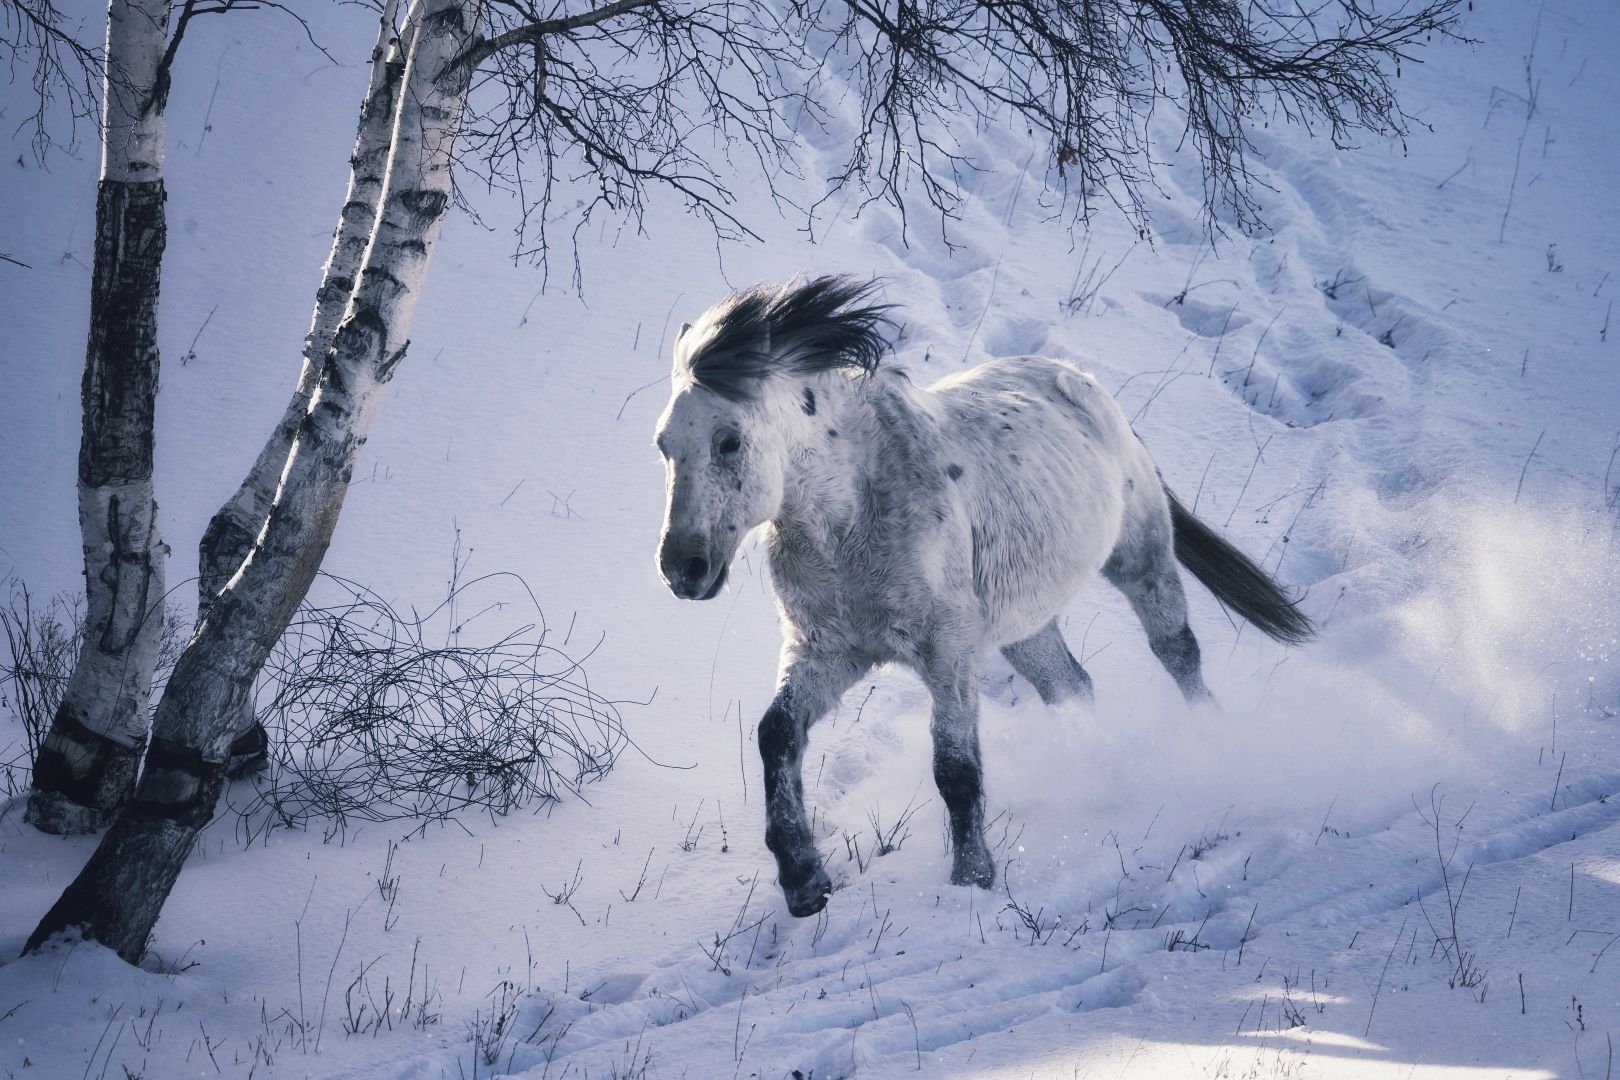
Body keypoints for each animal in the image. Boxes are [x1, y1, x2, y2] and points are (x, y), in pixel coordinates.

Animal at [651, 276, 1308, 913]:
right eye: (664, 445)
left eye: (729, 441)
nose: (682, 569)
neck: (853, 512)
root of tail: (1087, 385)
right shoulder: (828, 651)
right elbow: (776, 735)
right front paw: (803, 881)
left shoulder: (949, 652)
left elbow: (956, 770)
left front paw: (972, 879)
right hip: (1024, 626)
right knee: (1072, 687)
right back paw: (1103, 777)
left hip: (1139, 558)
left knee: (1177, 653)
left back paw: (1209, 744)